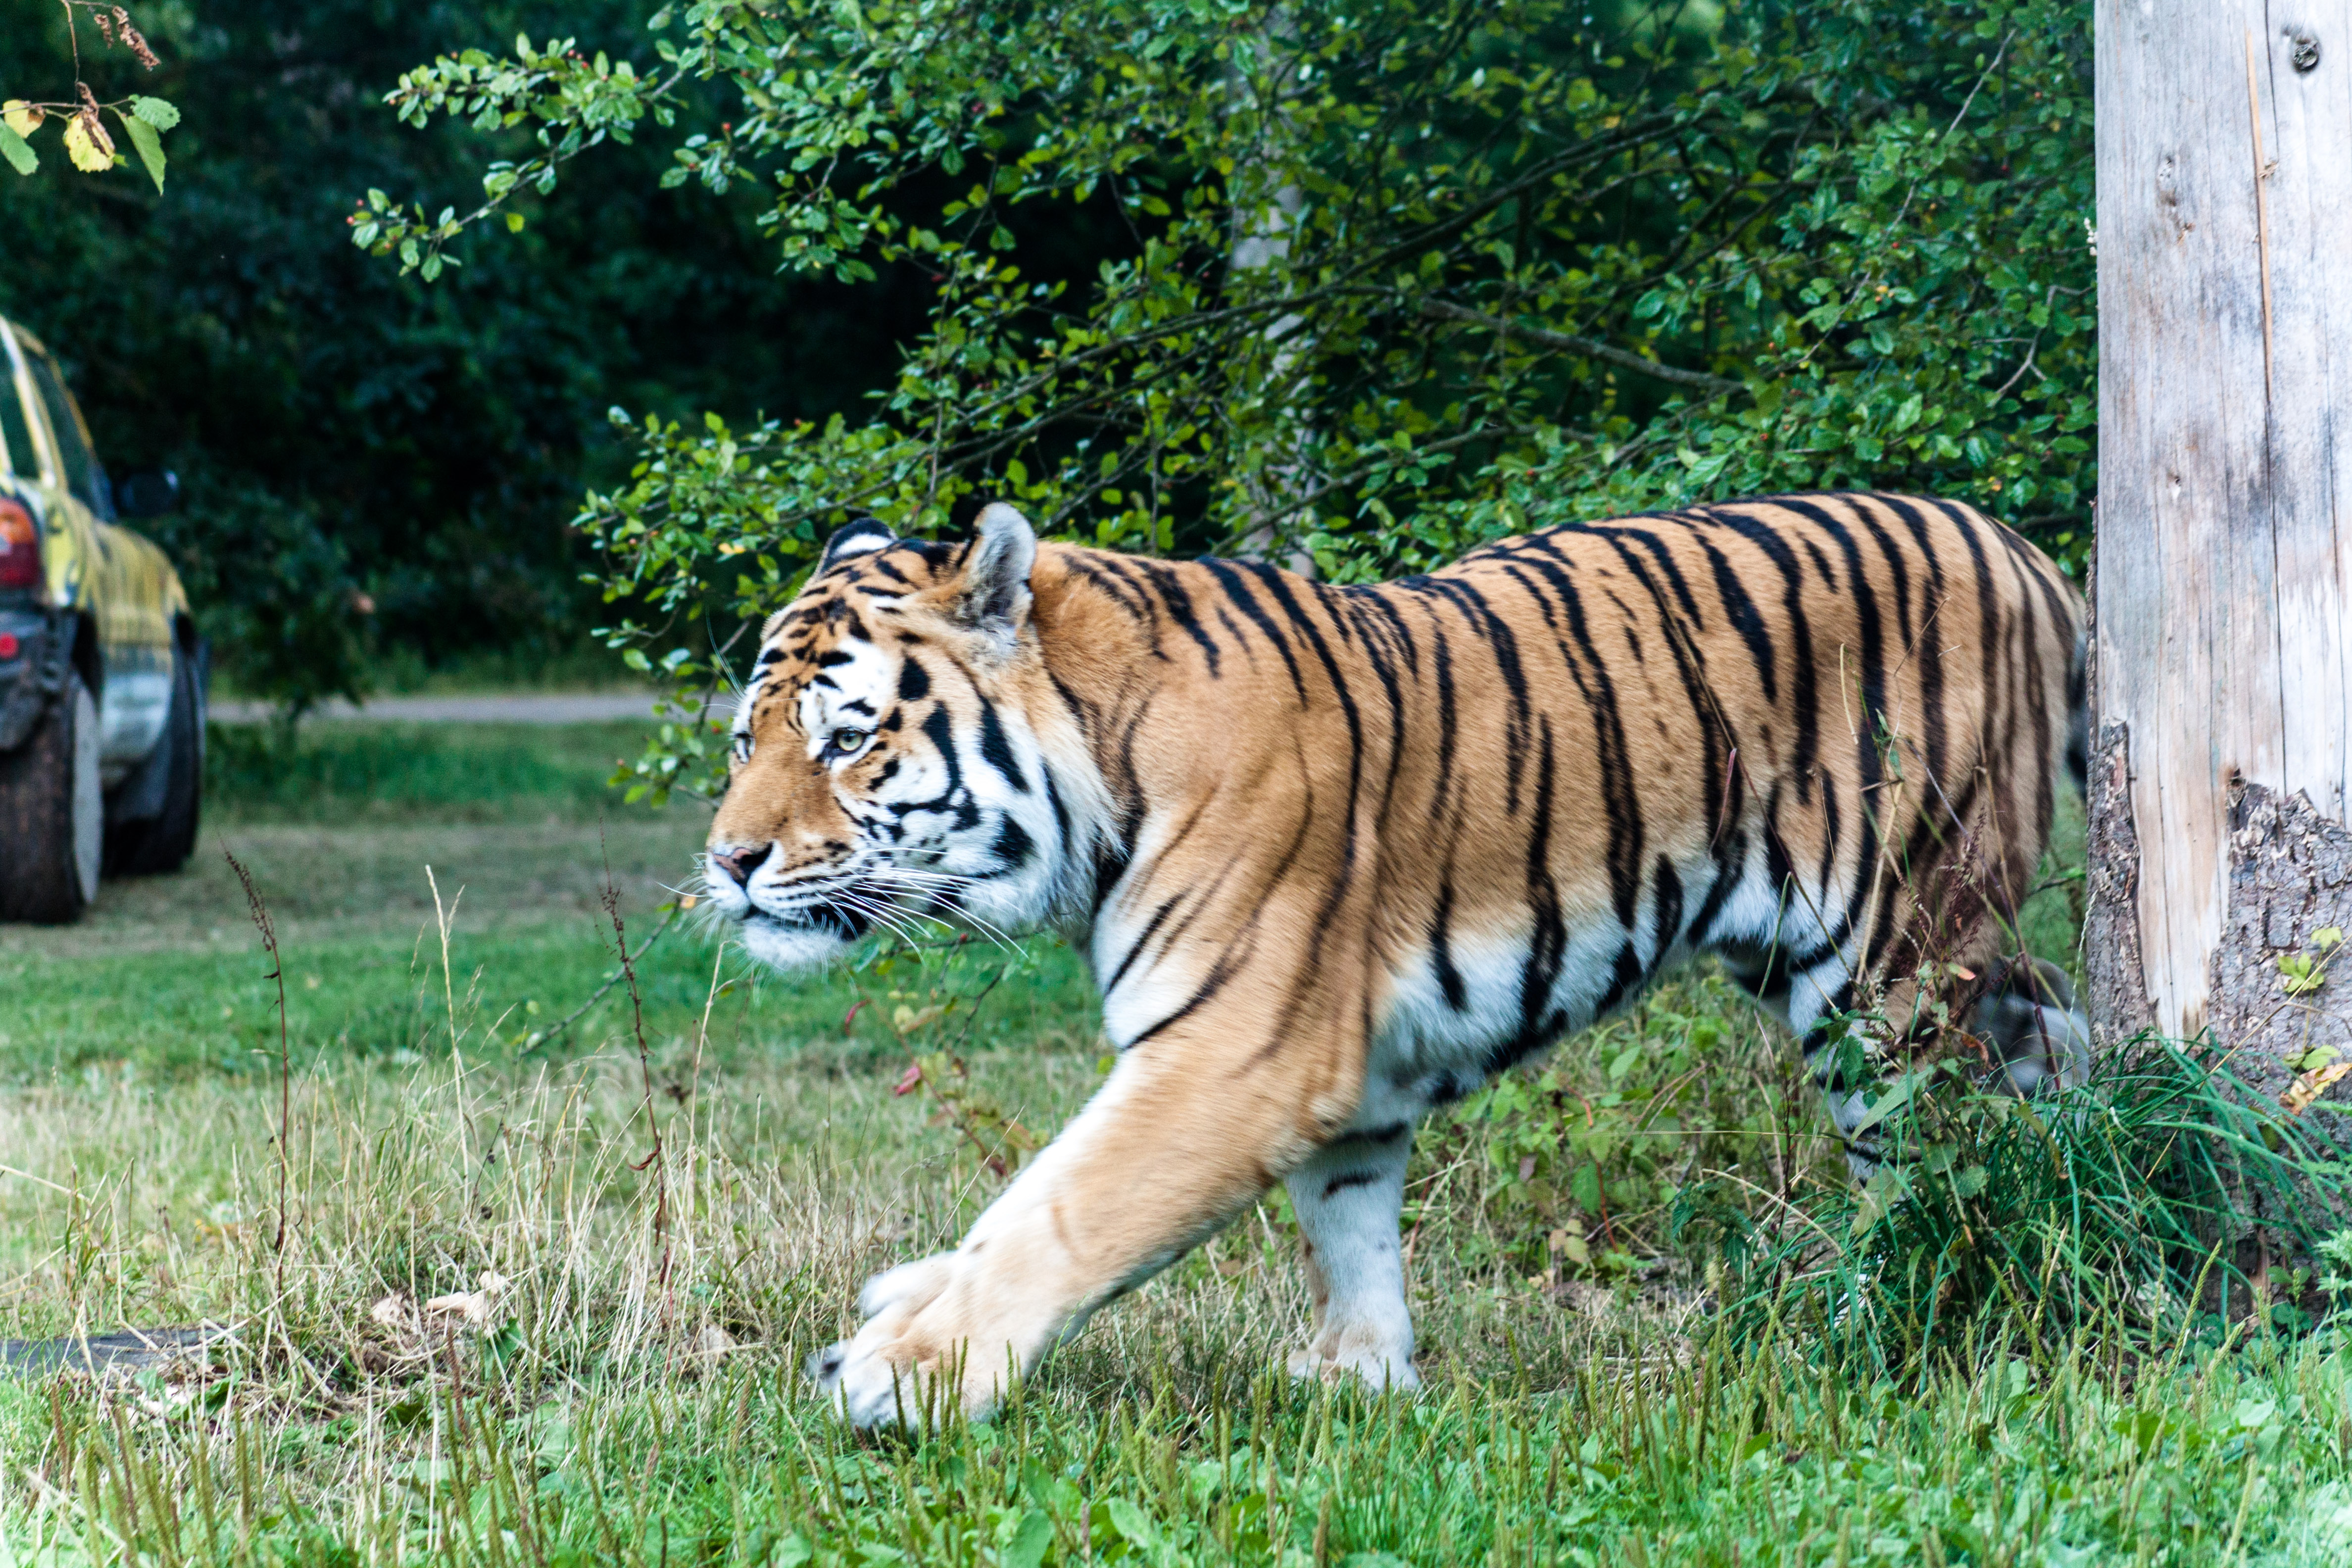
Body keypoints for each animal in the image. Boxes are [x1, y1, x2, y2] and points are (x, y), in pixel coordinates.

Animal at [701, 492, 2090, 1427]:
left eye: (846, 739)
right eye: (744, 738)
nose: (728, 862)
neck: (1103, 756)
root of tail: (2015, 548)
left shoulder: (1230, 1049)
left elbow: (1060, 1209)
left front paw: (905, 1371)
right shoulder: (1335, 1063)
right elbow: (1349, 1218)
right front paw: (1359, 1374)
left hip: (1884, 954)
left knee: (1927, 1152)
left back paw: (1877, 1308)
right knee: (2046, 1039)